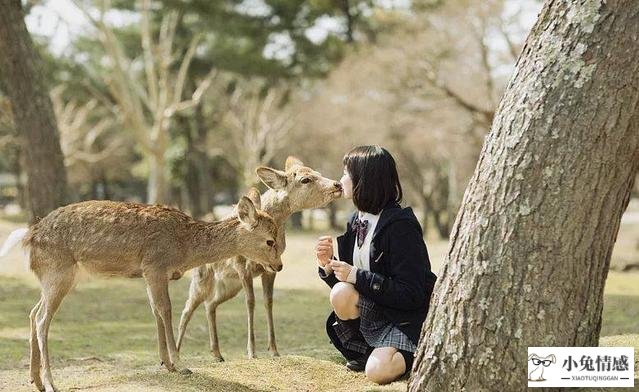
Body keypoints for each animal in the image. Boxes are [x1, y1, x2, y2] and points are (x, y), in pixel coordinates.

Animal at [0, 192, 280, 392]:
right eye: (270, 240)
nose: (279, 265)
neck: (184, 247)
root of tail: (29, 235)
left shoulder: (148, 273)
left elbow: (155, 310)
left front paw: (166, 363)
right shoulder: (155, 265)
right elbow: (166, 309)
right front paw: (181, 364)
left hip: (51, 276)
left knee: (32, 312)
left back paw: (35, 379)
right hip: (58, 271)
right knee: (41, 319)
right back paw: (50, 383)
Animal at [175, 156, 344, 362]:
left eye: (318, 173)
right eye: (305, 179)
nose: (338, 185)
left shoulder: (271, 269)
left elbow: (268, 301)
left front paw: (274, 350)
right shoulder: (242, 265)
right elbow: (250, 302)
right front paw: (251, 352)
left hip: (229, 286)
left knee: (210, 304)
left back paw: (217, 353)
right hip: (202, 277)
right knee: (187, 309)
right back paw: (177, 353)